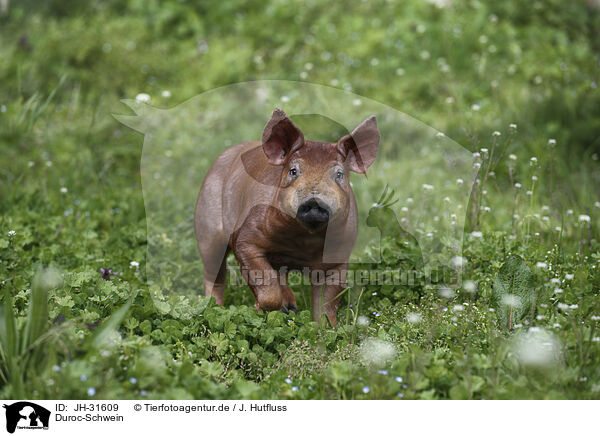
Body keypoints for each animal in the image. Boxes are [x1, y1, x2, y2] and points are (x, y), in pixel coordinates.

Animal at [195, 109, 382, 328]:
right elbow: (265, 284)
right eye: (293, 171)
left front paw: (327, 329)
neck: (301, 242)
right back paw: (214, 307)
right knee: (214, 274)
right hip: (207, 225)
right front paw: (265, 310)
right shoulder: (245, 239)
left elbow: (327, 303)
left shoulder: (338, 257)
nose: (314, 200)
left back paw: (291, 307)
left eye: (339, 174)